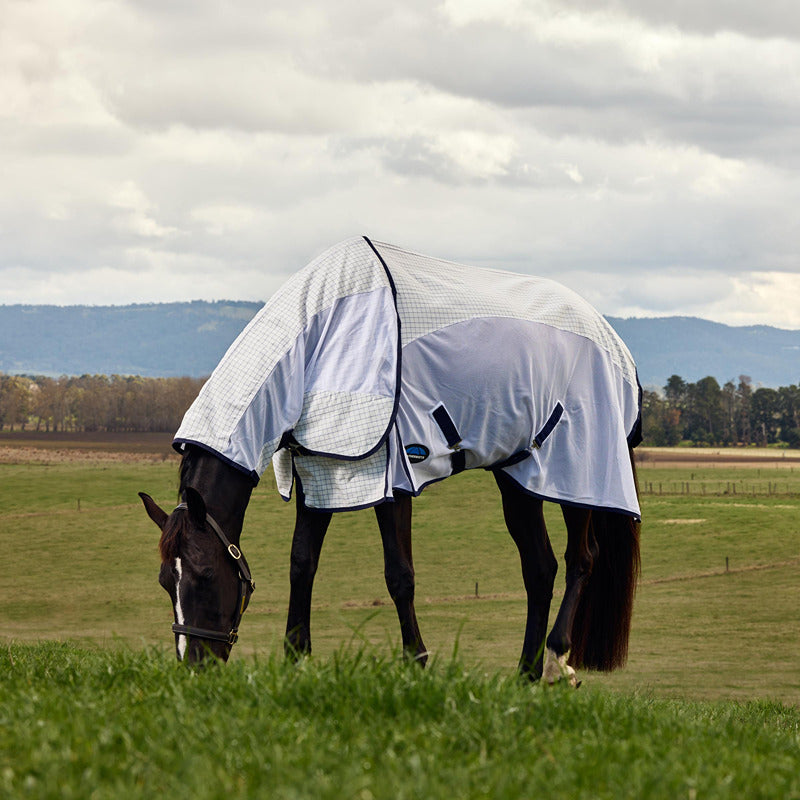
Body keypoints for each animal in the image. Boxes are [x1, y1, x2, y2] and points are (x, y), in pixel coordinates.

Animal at [140, 236, 642, 684]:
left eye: (204, 574)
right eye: (165, 581)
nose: (195, 666)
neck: (319, 337)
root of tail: (615, 343)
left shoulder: (390, 475)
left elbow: (399, 575)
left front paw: (416, 663)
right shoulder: (321, 468)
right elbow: (302, 562)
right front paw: (296, 659)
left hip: (577, 471)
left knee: (582, 559)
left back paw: (556, 660)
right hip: (519, 475)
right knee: (540, 568)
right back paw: (525, 673)